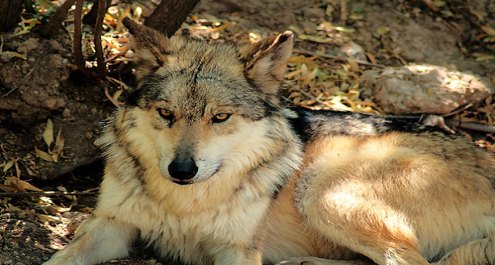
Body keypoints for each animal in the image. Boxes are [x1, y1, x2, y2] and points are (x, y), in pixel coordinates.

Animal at [43, 17, 495, 262]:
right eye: (166, 114)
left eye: (220, 117)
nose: (182, 169)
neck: (185, 204)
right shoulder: (112, 226)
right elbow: (62, 257)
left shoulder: (239, 249)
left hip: (323, 190)